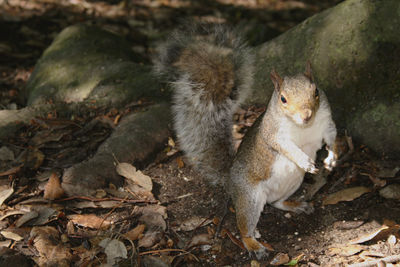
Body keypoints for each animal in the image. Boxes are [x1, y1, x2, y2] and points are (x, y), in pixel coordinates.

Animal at [153, 25, 338, 260]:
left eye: (316, 92)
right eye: (283, 99)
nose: (306, 115)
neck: (303, 127)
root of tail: (230, 179)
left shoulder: (326, 123)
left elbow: (331, 138)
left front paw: (332, 158)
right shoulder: (273, 133)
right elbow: (285, 146)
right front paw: (304, 160)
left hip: (292, 184)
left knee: (277, 202)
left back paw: (296, 205)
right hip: (250, 197)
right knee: (244, 227)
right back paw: (254, 245)